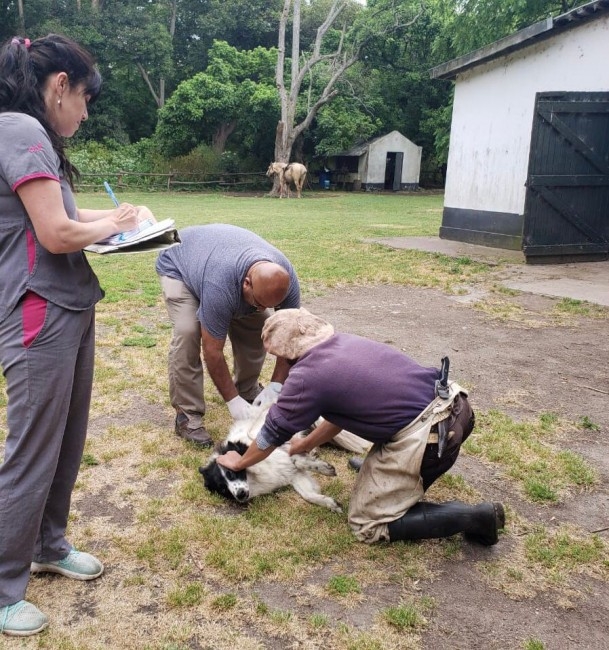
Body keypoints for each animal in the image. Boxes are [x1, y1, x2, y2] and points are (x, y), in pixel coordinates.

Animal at [200, 404, 342, 512]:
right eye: (223, 489)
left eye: (231, 473)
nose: (240, 495)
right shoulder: (293, 475)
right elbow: (308, 494)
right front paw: (330, 503)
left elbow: (297, 460)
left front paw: (323, 468)